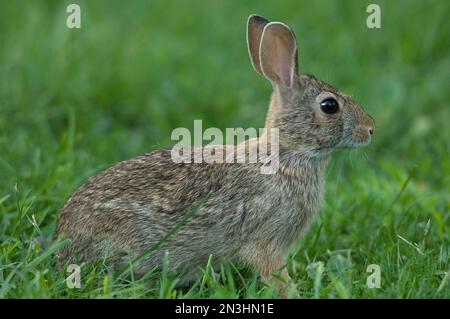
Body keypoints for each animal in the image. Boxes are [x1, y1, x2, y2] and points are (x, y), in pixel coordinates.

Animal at [54, 13, 374, 296]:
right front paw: (293, 293)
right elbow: (275, 275)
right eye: (330, 106)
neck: (286, 154)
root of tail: (63, 239)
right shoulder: (266, 243)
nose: (370, 129)